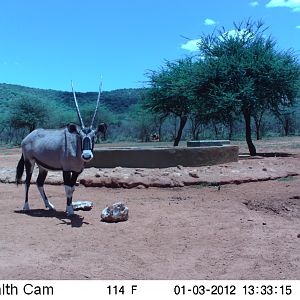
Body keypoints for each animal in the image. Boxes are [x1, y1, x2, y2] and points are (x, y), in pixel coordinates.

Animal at [15, 81, 106, 214]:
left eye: (94, 136)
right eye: (80, 136)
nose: (86, 155)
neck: (75, 148)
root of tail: (26, 138)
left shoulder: (77, 171)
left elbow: (72, 188)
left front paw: (70, 208)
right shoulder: (66, 169)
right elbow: (67, 188)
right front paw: (69, 210)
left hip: (43, 167)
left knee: (39, 183)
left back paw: (49, 205)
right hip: (29, 162)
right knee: (27, 182)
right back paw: (26, 206)